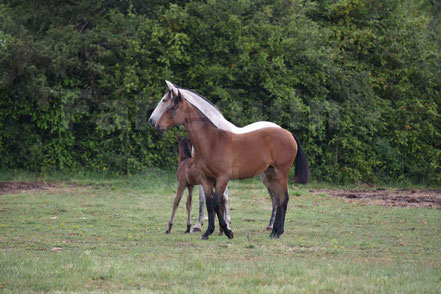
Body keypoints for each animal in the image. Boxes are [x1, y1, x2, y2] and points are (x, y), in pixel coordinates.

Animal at [150, 81, 308, 238]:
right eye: (167, 103)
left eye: (171, 105)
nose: (155, 124)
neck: (212, 142)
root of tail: (288, 133)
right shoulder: (206, 179)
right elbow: (209, 203)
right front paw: (208, 231)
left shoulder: (222, 178)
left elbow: (217, 202)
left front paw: (227, 230)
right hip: (271, 174)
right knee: (278, 199)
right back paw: (274, 230)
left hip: (280, 174)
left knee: (282, 199)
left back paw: (277, 231)